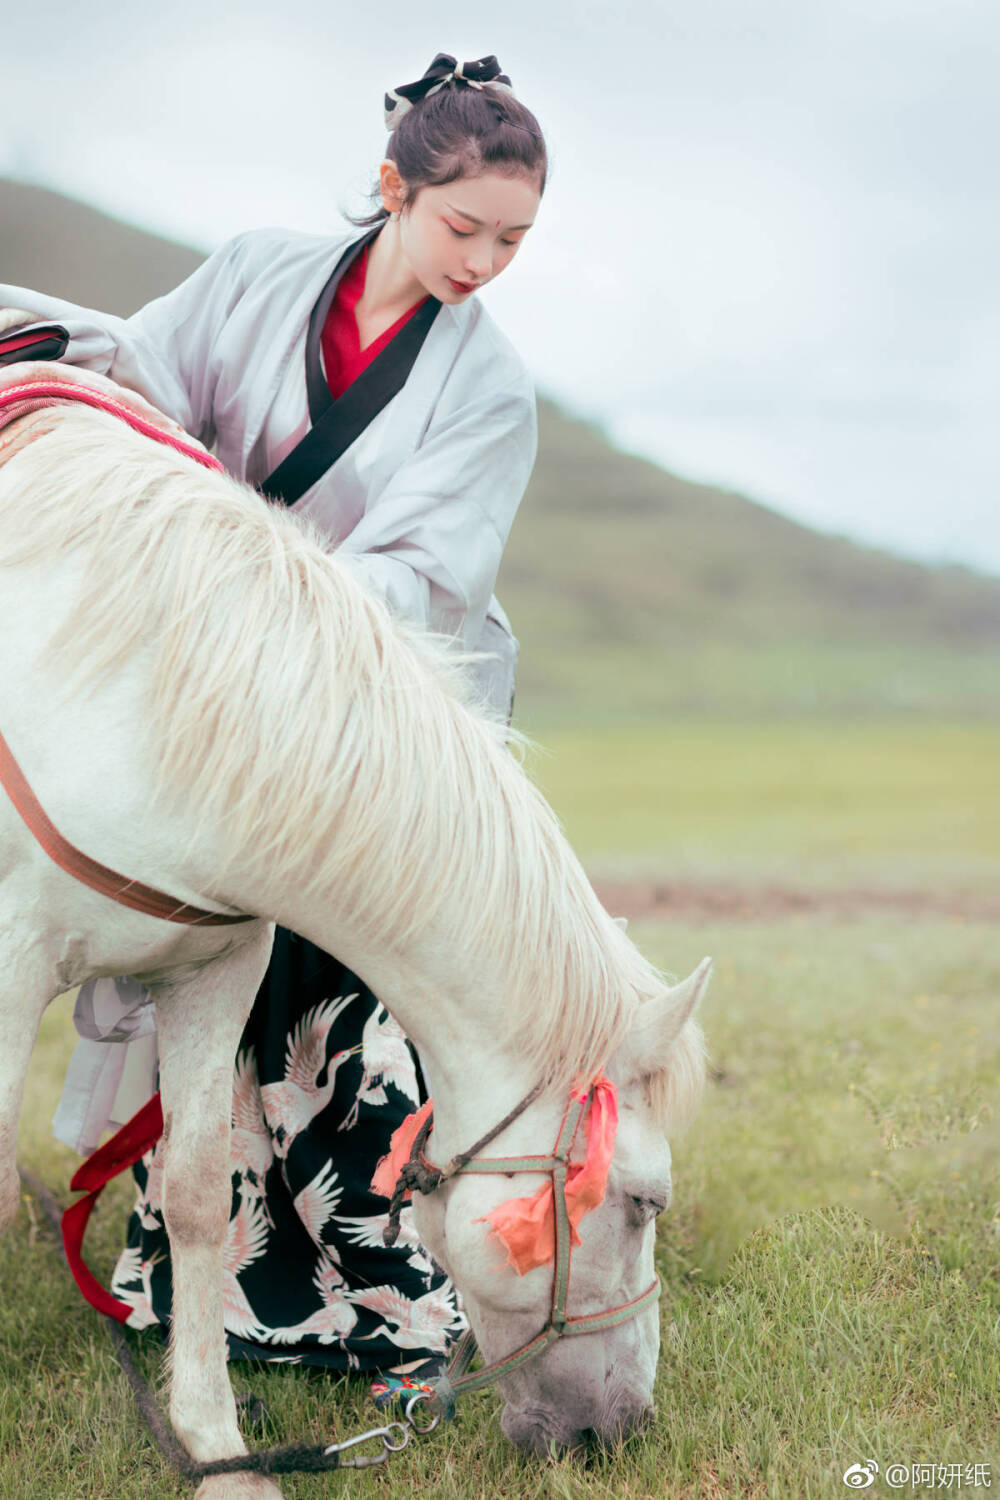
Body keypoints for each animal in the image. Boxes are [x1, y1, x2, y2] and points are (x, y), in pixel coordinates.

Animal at [0, 378, 707, 1500]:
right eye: (642, 1202)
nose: (618, 1430)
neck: (141, 697)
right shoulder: (10, 963)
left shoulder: (211, 967)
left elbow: (197, 1193)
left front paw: (216, 1448)